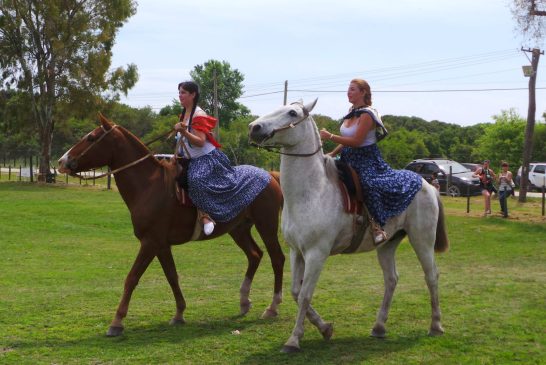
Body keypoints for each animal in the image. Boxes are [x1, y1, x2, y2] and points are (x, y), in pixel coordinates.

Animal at [58, 114, 284, 336]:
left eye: (91, 138)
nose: (62, 161)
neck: (149, 186)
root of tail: (271, 176)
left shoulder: (150, 243)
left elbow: (132, 278)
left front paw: (116, 323)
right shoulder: (161, 245)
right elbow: (172, 276)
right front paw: (179, 314)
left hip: (267, 225)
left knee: (277, 258)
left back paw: (272, 308)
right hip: (239, 230)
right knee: (254, 255)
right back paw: (244, 302)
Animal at [246, 99, 446, 352]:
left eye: (292, 112)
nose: (254, 127)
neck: (312, 192)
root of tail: (427, 185)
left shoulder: (316, 253)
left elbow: (305, 294)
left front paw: (293, 340)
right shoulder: (296, 251)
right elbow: (295, 292)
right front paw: (324, 328)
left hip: (422, 241)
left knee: (431, 276)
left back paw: (436, 326)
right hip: (387, 245)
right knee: (391, 279)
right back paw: (379, 327)